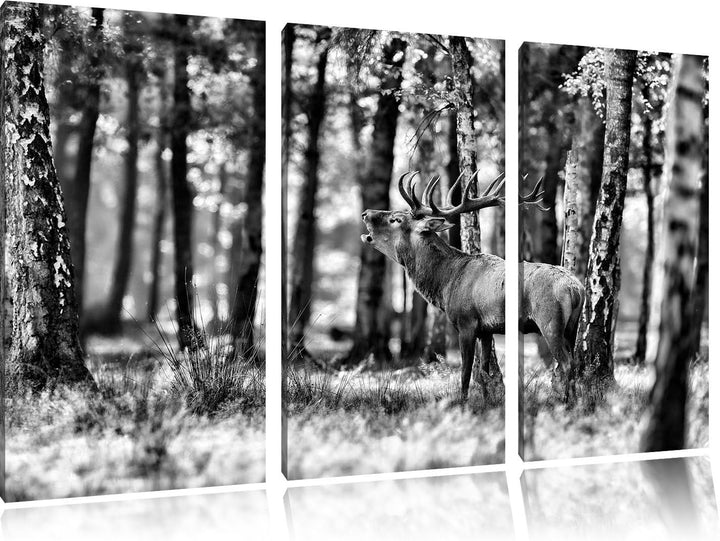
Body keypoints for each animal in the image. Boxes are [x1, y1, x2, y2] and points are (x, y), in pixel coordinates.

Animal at [360, 171, 584, 399]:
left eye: (396, 219)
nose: (366, 213)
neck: (445, 283)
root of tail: (575, 289)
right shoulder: (487, 329)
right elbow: (484, 372)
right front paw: (486, 401)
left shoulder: (465, 322)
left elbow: (466, 372)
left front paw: (463, 402)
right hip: (572, 325)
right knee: (575, 360)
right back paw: (576, 400)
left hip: (550, 320)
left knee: (566, 362)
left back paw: (565, 400)